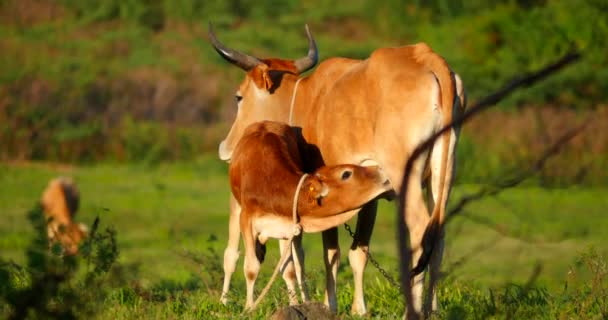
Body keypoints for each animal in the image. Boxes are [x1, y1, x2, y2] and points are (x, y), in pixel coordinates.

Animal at [226, 120, 392, 310]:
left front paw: (294, 304)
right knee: (232, 255)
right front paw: (249, 308)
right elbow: (251, 267)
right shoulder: (246, 220)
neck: (268, 183)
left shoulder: (288, 226)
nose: (381, 170)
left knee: (298, 264)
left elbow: (290, 269)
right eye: (346, 173)